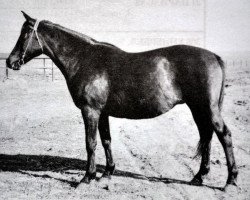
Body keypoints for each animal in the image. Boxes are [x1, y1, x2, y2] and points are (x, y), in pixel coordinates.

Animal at [5, 11, 237, 188]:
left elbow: (90, 143)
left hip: (208, 109)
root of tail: (214, 56)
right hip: (197, 109)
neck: (84, 59)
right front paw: (107, 173)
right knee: (207, 136)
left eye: (25, 33)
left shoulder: (90, 110)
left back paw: (230, 181)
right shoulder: (102, 112)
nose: (10, 61)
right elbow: (106, 140)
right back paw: (198, 177)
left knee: (223, 135)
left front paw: (87, 178)